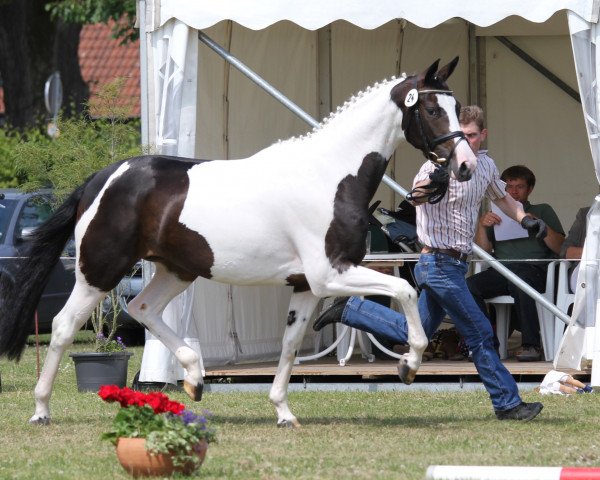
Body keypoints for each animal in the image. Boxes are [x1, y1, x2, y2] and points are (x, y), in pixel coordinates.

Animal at [1, 57, 478, 428]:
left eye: (456, 107)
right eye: (432, 108)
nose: (466, 165)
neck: (330, 176)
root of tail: (102, 178)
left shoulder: (307, 286)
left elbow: (290, 346)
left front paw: (283, 413)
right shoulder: (330, 275)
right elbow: (404, 291)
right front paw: (409, 364)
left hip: (177, 270)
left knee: (142, 309)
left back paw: (194, 379)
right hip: (99, 271)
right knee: (64, 325)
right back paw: (41, 411)